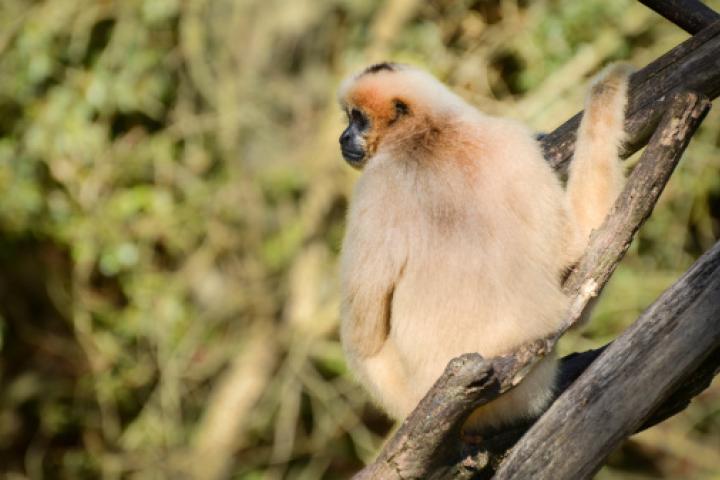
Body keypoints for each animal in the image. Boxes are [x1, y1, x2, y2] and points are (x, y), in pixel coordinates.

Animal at [337, 61, 631, 433]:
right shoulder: (512, 139)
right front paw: (608, 89)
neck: (432, 131)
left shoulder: (375, 185)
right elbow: (576, 250)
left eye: (358, 119)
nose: (343, 137)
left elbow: (364, 335)